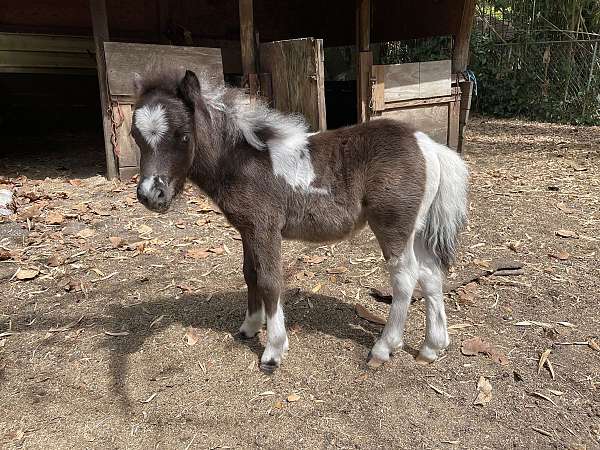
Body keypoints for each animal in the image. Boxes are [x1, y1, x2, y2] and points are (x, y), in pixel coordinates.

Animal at [130, 69, 468, 372]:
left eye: (183, 136)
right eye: (135, 136)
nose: (150, 195)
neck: (241, 161)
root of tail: (427, 144)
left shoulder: (265, 228)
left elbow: (270, 281)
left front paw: (273, 350)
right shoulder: (247, 229)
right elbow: (250, 274)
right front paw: (250, 326)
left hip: (393, 226)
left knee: (406, 276)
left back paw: (383, 348)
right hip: (417, 229)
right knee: (430, 273)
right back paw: (431, 347)